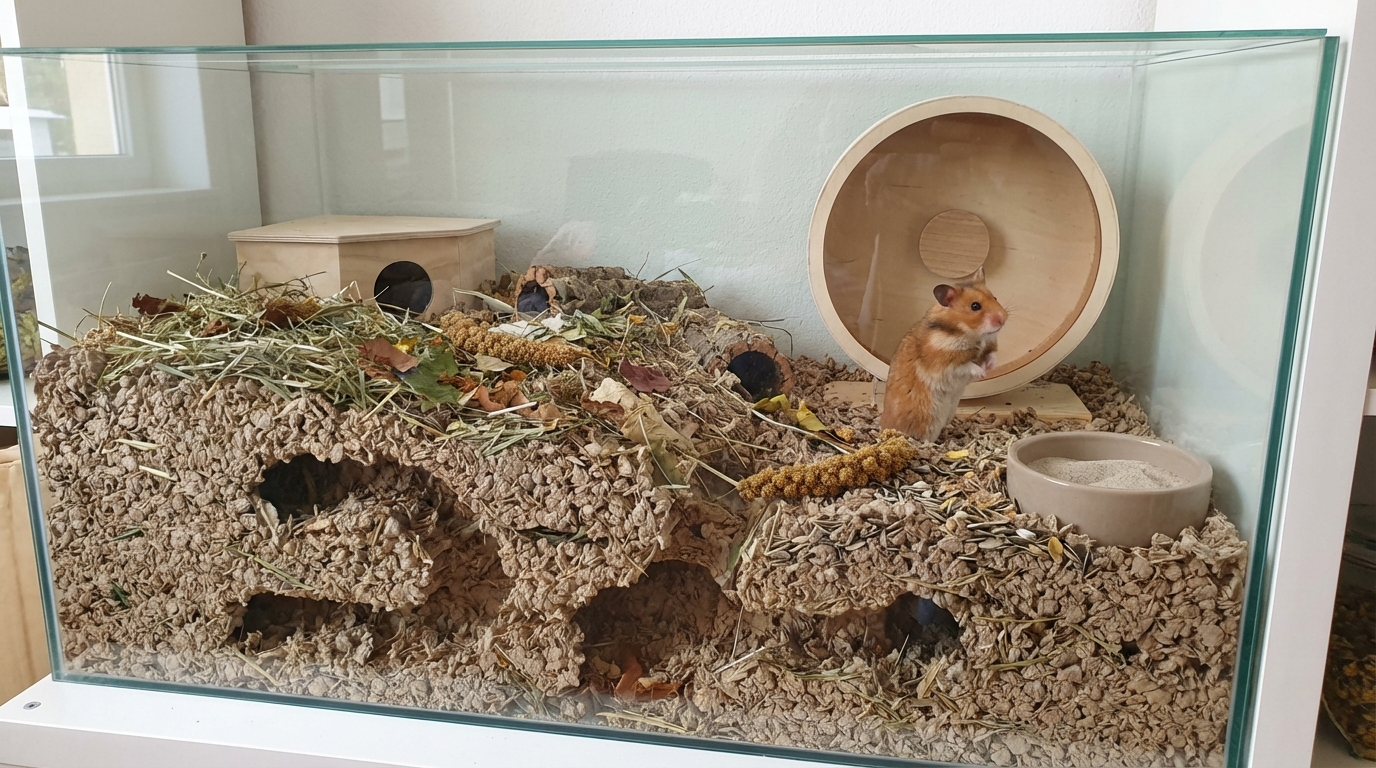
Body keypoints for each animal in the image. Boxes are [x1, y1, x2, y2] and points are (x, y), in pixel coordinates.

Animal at [879, 267, 1007, 442]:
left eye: (995, 297)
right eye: (975, 306)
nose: (1003, 320)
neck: (971, 334)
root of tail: (883, 427)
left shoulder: (987, 348)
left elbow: (991, 355)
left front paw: (990, 366)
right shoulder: (944, 364)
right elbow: (968, 365)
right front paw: (982, 373)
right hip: (927, 421)